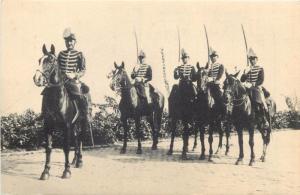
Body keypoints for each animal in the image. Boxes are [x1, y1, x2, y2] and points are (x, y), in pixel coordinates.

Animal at [33, 44, 86, 180]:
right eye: (39, 60)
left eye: (51, 60)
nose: (37, 79)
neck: (55, 97)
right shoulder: (48, 125)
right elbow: (49, 148)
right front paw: (45, 171)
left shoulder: (66, 126)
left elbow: (66, 147)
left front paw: (66, 171)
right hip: (74, 125)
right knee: (76, 139)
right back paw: (74, 160)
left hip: (81, 123)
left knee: (80, 139)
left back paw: (79, 161)